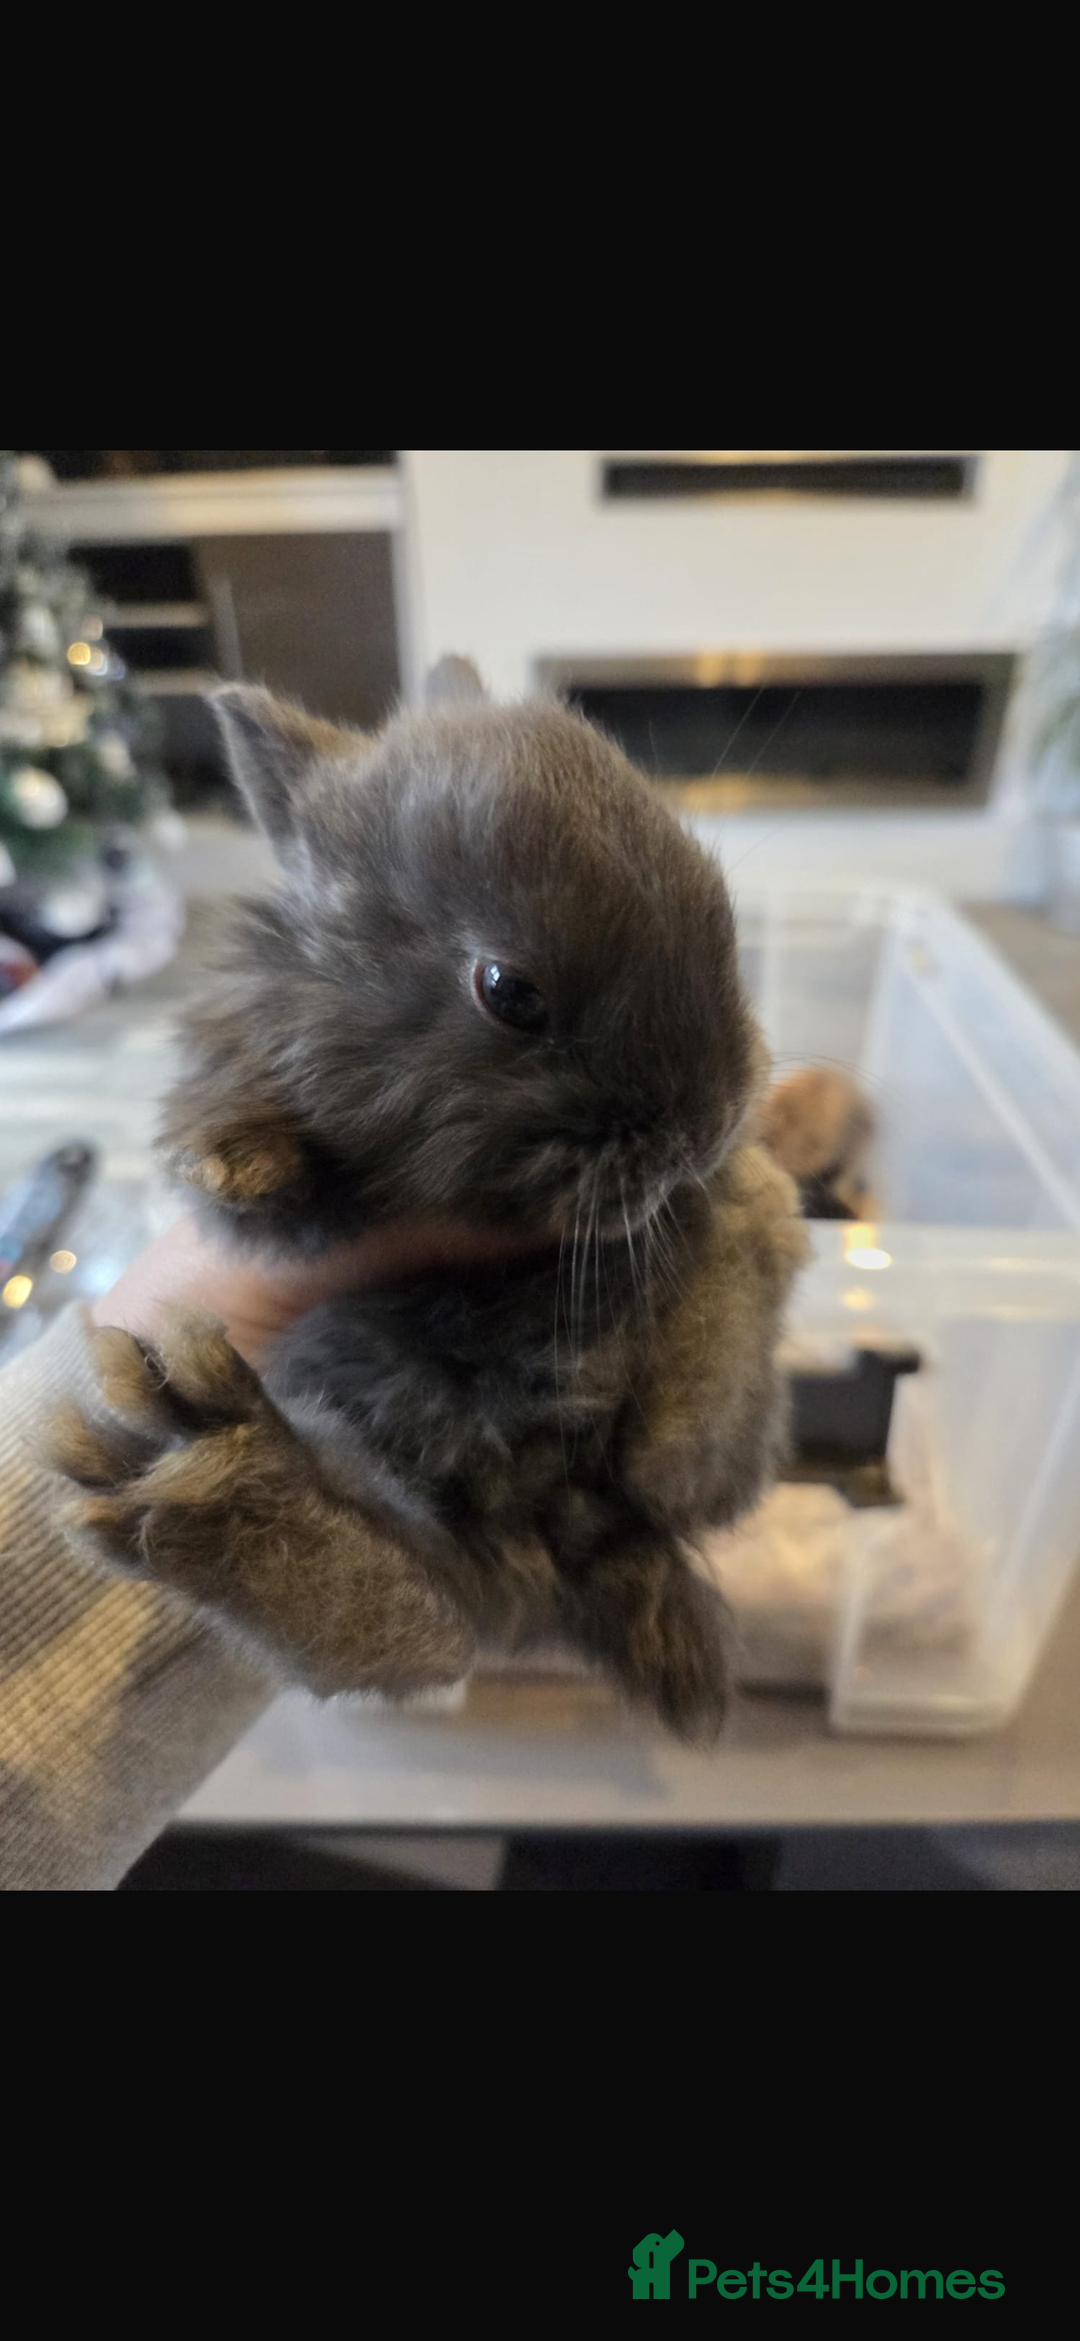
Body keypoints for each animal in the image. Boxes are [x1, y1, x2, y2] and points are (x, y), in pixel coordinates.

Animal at [49, 662, 805, 1741]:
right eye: (509, 991)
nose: (707, 1124)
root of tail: (591, 1553)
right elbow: (253, 1184)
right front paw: (240, 1154)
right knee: (413, 1608)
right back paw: (219, 1474)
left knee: (674, 1469)